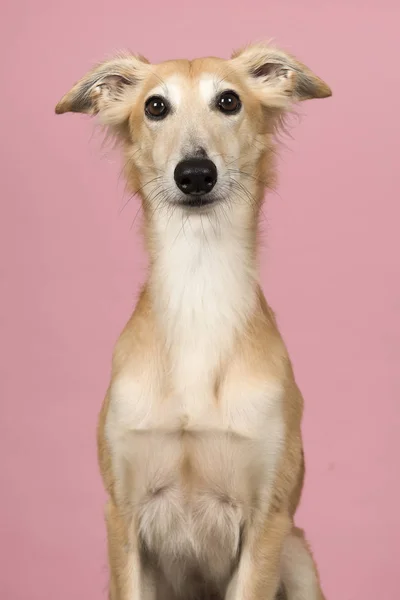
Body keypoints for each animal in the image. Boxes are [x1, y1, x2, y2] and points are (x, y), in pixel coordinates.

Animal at [56, 43, 332, 600]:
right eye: (155, 106)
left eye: (228, 100)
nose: (196, 174)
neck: (199, 290)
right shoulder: (122, 515)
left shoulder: (268, 520)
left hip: (299, 557)